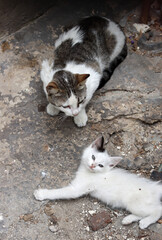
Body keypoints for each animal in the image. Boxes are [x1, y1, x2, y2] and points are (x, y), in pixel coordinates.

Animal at [33, 137, 161, 229]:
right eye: (93, 157)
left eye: (100, 165)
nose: (92, 165)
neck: (88, 172)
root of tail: (155, 187)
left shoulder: (77, 189)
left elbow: (60, 192)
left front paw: (42, 194)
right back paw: (128, 219)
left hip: (135, 203)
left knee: (158, 210)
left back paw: (145, 222)